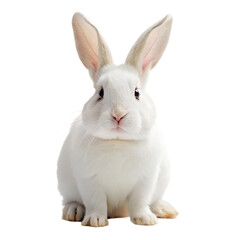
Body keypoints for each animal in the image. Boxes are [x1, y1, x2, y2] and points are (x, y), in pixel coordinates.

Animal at [57, 12, 178, 227]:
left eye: (137, 92)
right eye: (100, 92)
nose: (118, 114)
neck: (118, 142)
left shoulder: (146, 179)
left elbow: (139, 200)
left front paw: (144, 219)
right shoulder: (89, 179)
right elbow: (96, 201)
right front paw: (95, 220)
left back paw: (163, 209)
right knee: (72, 199)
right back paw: (74, 210)